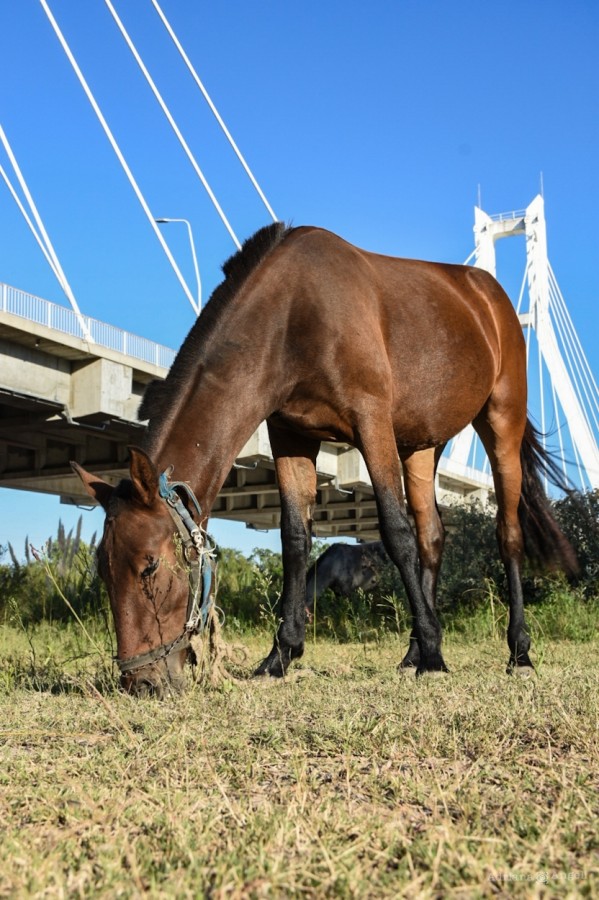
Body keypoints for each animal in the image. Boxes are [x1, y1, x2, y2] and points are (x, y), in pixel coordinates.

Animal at [71, 220, 576, 696]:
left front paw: (435, 653)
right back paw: (414, 650)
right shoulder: (290, 434)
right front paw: (281, 654)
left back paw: (516, 651)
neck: (293, 314)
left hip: (501, 421)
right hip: (421, 447)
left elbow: (395, 533)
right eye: (103, 569)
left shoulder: (372, 423)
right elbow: (295, 540)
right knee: (432, 536)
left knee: (507, 534)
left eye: (150, 566)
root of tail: (489, 296)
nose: (141, 682)